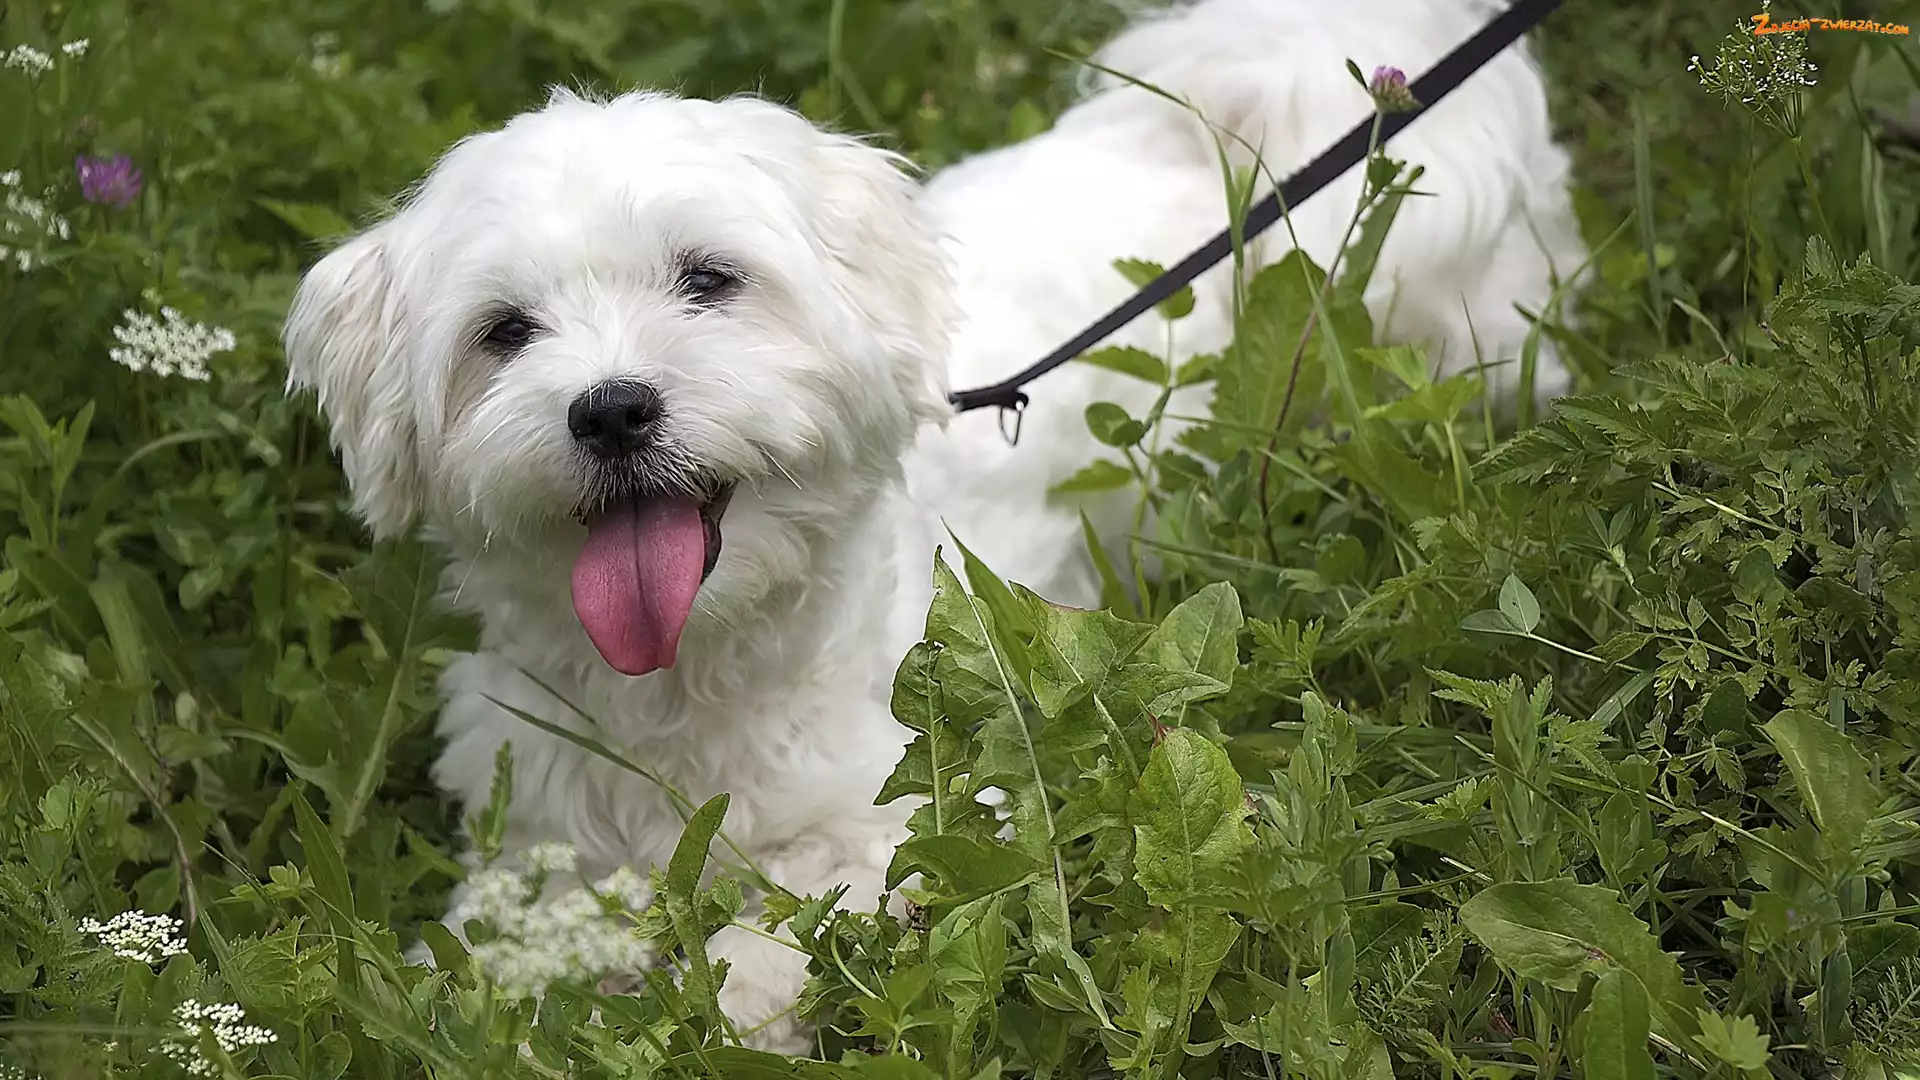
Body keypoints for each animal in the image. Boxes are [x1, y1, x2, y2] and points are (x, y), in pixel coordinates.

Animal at [284, 0, 1584, 1053]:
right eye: (505, 332)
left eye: (708, 279)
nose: (609, 408)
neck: (692, 688)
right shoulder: (544, 830)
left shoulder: (914, 819)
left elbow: (787, 932)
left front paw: (732, 1006)